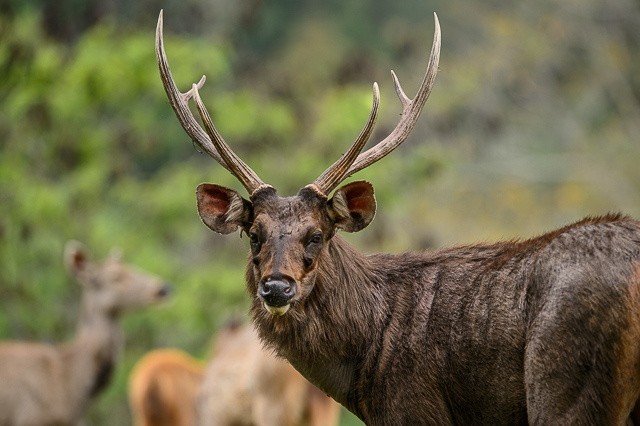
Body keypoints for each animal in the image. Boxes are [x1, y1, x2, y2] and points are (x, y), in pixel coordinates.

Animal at [158, 7, 640, 426]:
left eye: (316, 235)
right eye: (254, 234)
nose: (277, 287)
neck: (363, 367)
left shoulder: (413, 409)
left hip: (565, 380)